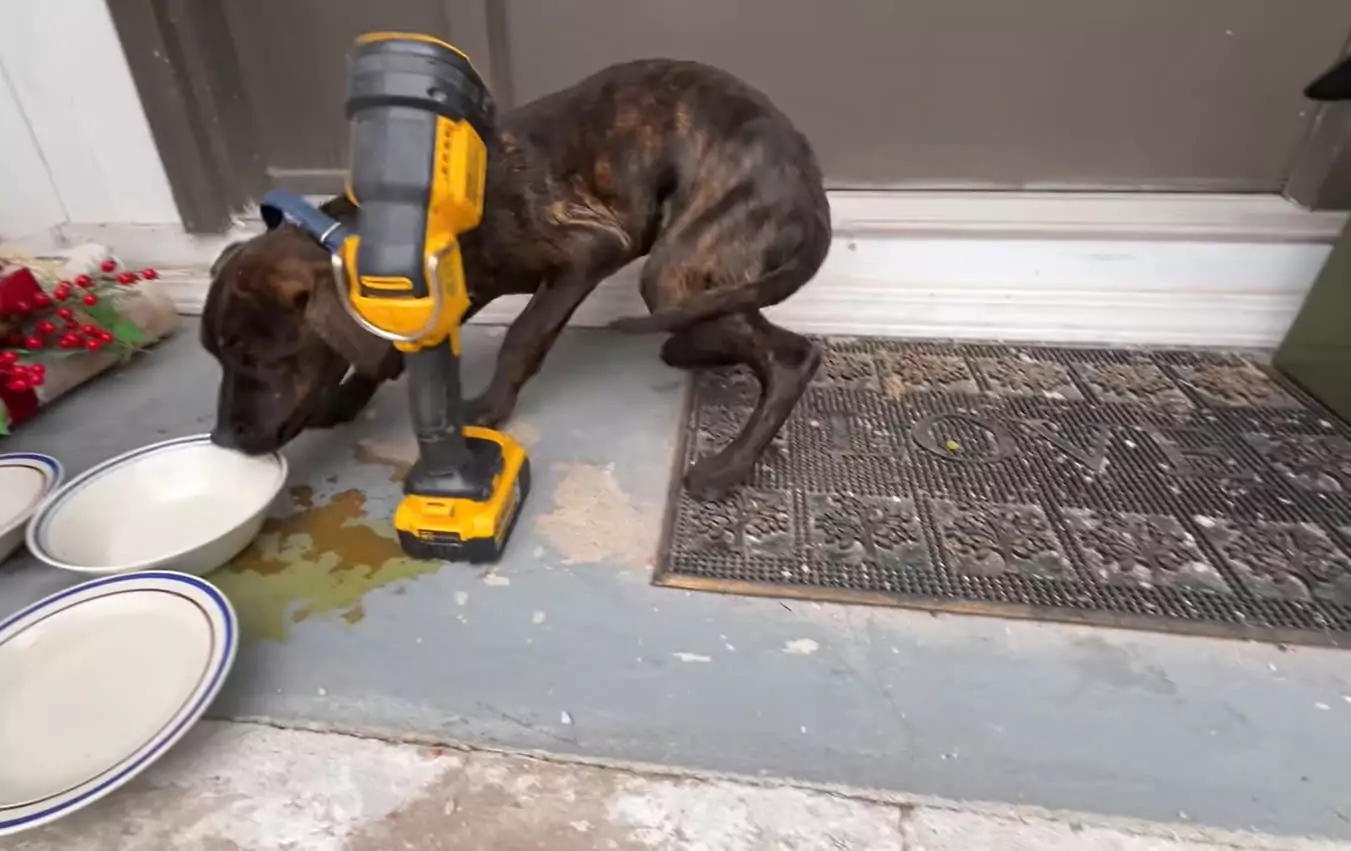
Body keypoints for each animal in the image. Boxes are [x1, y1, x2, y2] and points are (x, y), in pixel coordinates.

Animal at [204, 60, 826, 502]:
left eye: (256, 359)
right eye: (218, 357)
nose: (223, 440)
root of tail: (812, 192)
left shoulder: (587, 252)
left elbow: (522, 336)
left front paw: (490, 407)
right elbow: (388, 351)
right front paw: (347, 396)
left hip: (671, 271)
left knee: (789, 356)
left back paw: (729, 466)